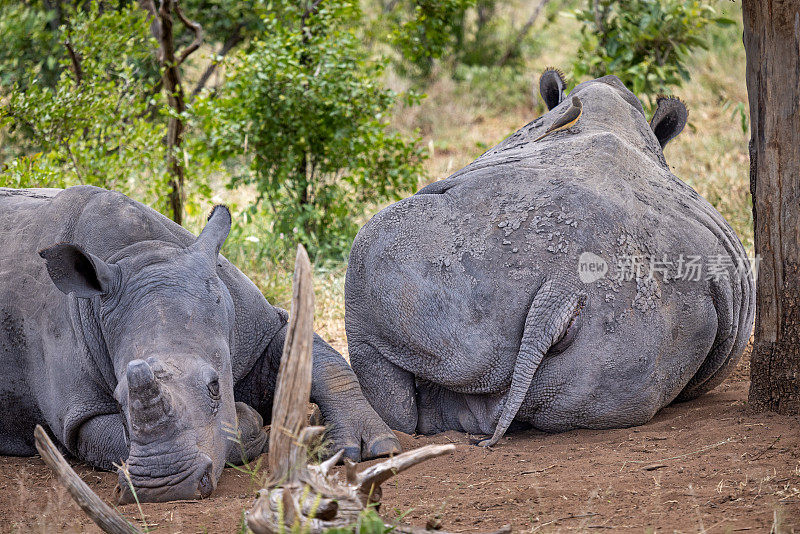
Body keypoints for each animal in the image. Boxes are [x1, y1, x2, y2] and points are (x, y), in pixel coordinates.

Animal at [0, 186, 400, 504]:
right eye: (118, 398)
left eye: (214, 387)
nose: (164, 487)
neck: (142, 253)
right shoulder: (78, 414)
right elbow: (109, 438)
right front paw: (248, 423)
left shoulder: (255, 326)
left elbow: (321, 361)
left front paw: (369, 449)